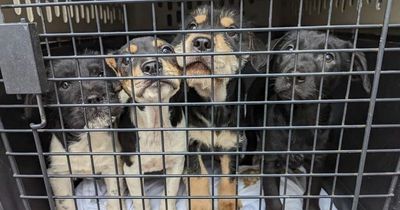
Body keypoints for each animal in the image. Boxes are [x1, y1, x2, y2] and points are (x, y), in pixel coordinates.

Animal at [35, 53, 126, 210]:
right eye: (65, 85)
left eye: (100, 74)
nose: (94, 98)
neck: (87, 139)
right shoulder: (59, 174)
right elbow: (66, 203)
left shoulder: (112, 165)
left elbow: (115, 195)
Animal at [105, 37, 185, 210]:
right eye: (126, 60)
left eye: (166, 50)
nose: (152, 65)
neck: (155, 124)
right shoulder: (132, 170)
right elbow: (141, 200)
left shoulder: (176, 164)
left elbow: (169, 194)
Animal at [173, 4, 268, 210]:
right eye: (192, 26)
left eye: (232, 31)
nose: (201, 42)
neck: (212, 101)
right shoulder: (191, 142)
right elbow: (198, 176)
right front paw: (201, 205)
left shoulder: (230, 143)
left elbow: (228, 178)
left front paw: (229, 203)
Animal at [248, 30, 374, 210]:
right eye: (290, 48)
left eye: (328, 57)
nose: (294, 76)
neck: (299, 118)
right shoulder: (271, 161)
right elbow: (273, 197)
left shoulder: (317, 161)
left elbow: (313, 191)